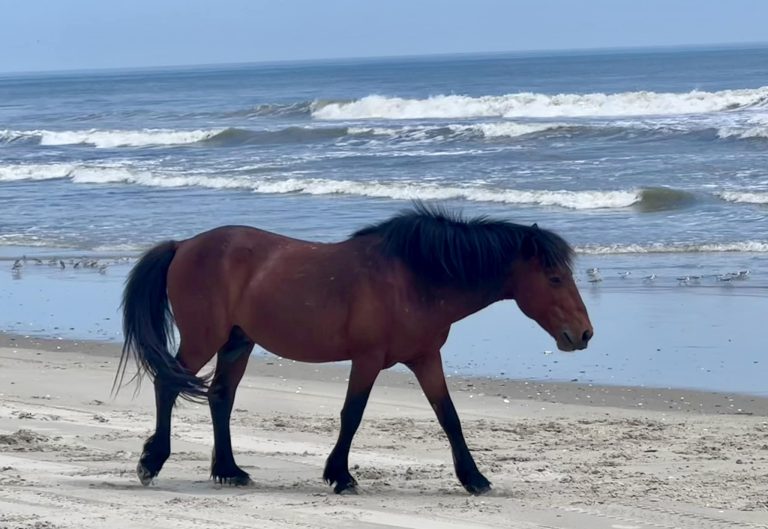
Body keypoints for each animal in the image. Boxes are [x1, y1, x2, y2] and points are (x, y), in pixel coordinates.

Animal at [116, 203, 593, 495]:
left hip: (238, 343)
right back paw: (151, 463)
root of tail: (183, 245)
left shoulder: (425, 359)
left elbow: (449, 417)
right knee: (168, 385)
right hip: (205, 339)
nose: (584, 334)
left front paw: (474, 479)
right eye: (554, 279)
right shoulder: (367, 360)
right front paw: (340, 476)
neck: (414, 278)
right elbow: (352, 414)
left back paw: (229, 470)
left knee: (220, 398)